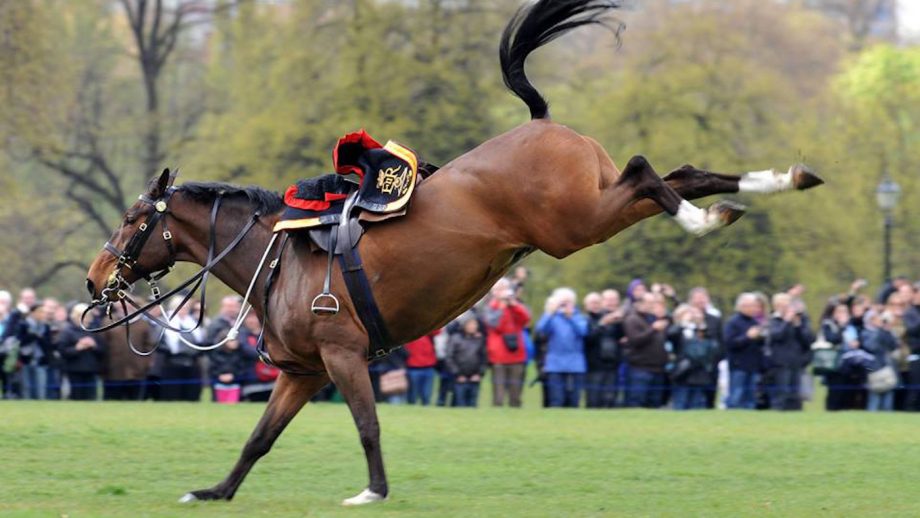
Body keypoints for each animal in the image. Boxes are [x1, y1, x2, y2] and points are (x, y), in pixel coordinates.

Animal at [84, 0, 820, 510]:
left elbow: (368, 426)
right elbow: (259, 438)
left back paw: (704, 217)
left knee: (648, 173)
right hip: (592, 205)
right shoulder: (302, 372)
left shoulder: (343, 357)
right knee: (683, 171)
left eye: (132, 220)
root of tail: (538, 123)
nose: (95, 280)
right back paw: (772, 184)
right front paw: (215, 491)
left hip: (576, 224)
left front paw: (373, 492)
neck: (278, 259)